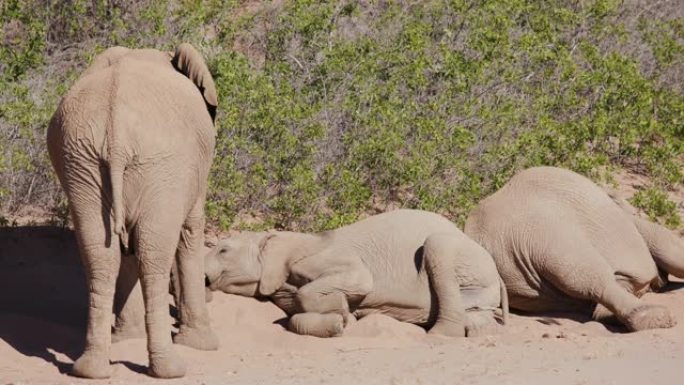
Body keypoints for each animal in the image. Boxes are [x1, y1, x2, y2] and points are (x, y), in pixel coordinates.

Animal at [47, 43, 218, 376]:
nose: (211, 291)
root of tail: (117, 134)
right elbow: (190, 231)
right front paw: (203, 345)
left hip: (80, 160)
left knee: (103, 254)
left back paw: (91, 369)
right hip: (161, 163)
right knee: (153, 255)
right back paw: (170, 369)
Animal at [203, 208, 508, 338]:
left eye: (223, 250)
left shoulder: (329, 256)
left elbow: (360, 280)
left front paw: (343, 311)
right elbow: (293, 318)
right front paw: (340, 321)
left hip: (460, 256)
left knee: (437, 245)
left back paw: (440, 335)